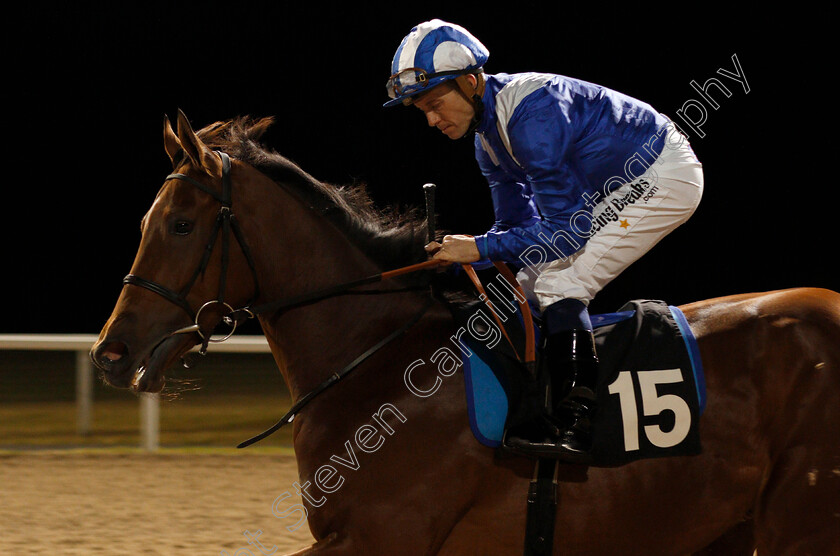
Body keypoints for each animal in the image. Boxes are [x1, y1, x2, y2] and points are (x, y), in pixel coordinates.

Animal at [90, 111, 840, 552]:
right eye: (147, 222)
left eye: (179, 224)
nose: (110, 352)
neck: (377, 359)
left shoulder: (382, 537)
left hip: (797, 520)